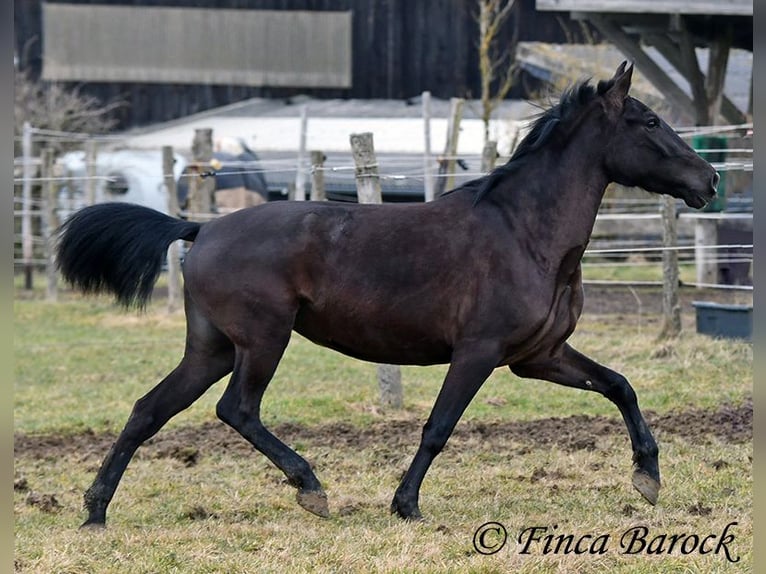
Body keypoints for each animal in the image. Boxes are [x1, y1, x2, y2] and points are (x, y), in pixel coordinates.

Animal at [55, 64, 720, 532]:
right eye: (650, 123)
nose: (709, 179)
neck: (523, 231)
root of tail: (201, 227)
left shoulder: (540, 357)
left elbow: (620, 386)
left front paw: (648, 478)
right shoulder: (478, 352)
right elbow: (438, 427)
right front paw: (405, 505)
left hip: (212, 348)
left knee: (149, 409)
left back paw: (95, 511)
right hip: (262, 340)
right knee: (236, 410)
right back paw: (311, 488)